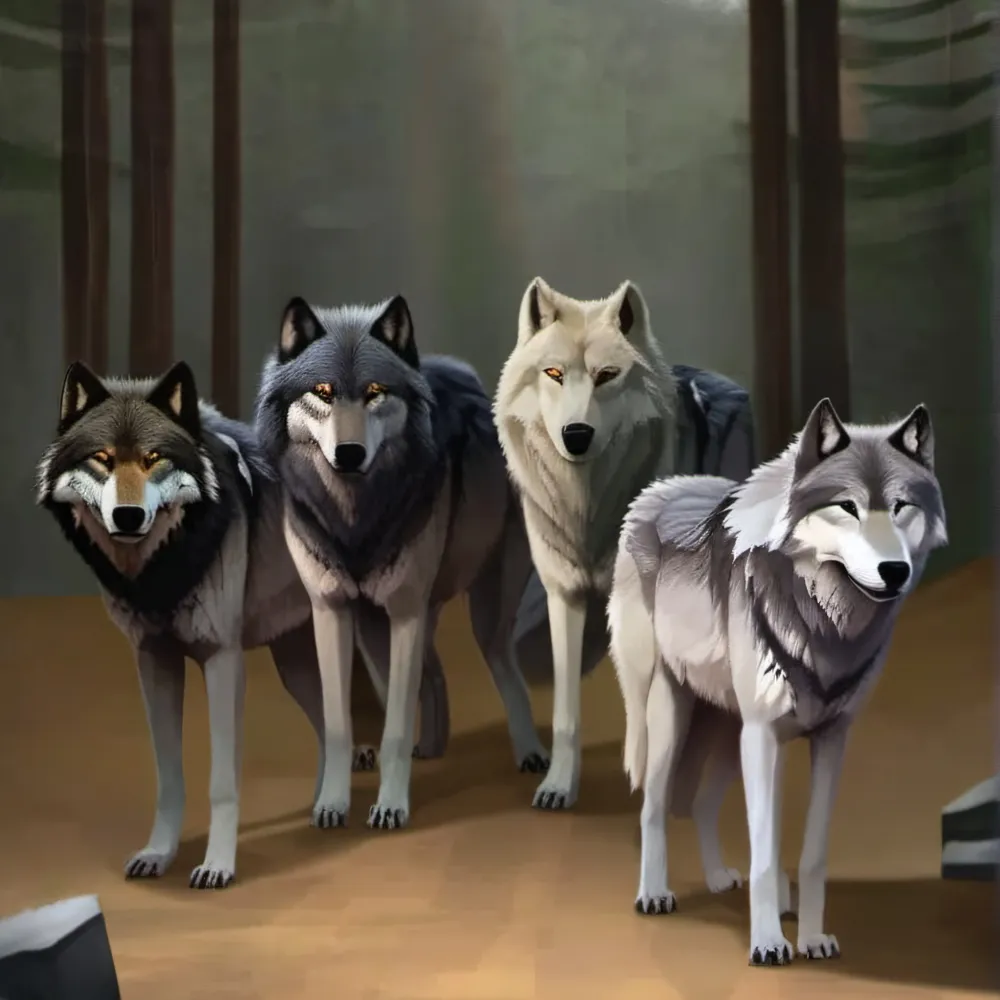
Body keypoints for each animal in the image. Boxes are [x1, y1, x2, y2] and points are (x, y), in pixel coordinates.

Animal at [35, 360, 371, 890]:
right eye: (102, 459)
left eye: (153, 458)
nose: (127, 516)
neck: (160, 571)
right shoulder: (153, 660)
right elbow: (169, 778)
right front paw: (158, 853)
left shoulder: (222, 660)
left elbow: (222, 783)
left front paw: (218, 865)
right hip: (295, 664)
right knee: (328, 726)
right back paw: (326, 802)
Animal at [255, 294, 548, 831]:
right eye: (323, 392)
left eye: (375, 392)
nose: (350, 453)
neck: (355, 521)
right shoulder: (332, 612)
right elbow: (339, 722)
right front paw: (332, 804)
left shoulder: (406, 612)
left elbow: (392, 726)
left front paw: (390, 806)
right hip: (379, 631)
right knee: (430, 677)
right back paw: (431, 747)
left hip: (483, 614)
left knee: (503, 666)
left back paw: (531, 754)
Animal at [494, 277, 756, 816]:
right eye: (553, 373)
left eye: (606, 376)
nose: (576, 434)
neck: (589, 509)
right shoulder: (564, 597)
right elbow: (567, 710)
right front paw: (559, 785)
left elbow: (646, 703)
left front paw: (651, 779)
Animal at [608, 398, 948, 965]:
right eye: (847, 507)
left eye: (901, 506)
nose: (894, 571)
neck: (827, 627)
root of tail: (657, 492)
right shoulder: (765, 736)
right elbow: (765, 855)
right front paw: (768, 943)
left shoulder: (830, 738)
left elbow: (811, 855)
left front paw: (810, 938)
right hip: (673, 717)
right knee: (653, 805)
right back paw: (653, 893)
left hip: (733, 736)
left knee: (700, 803)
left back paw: (719, 878)